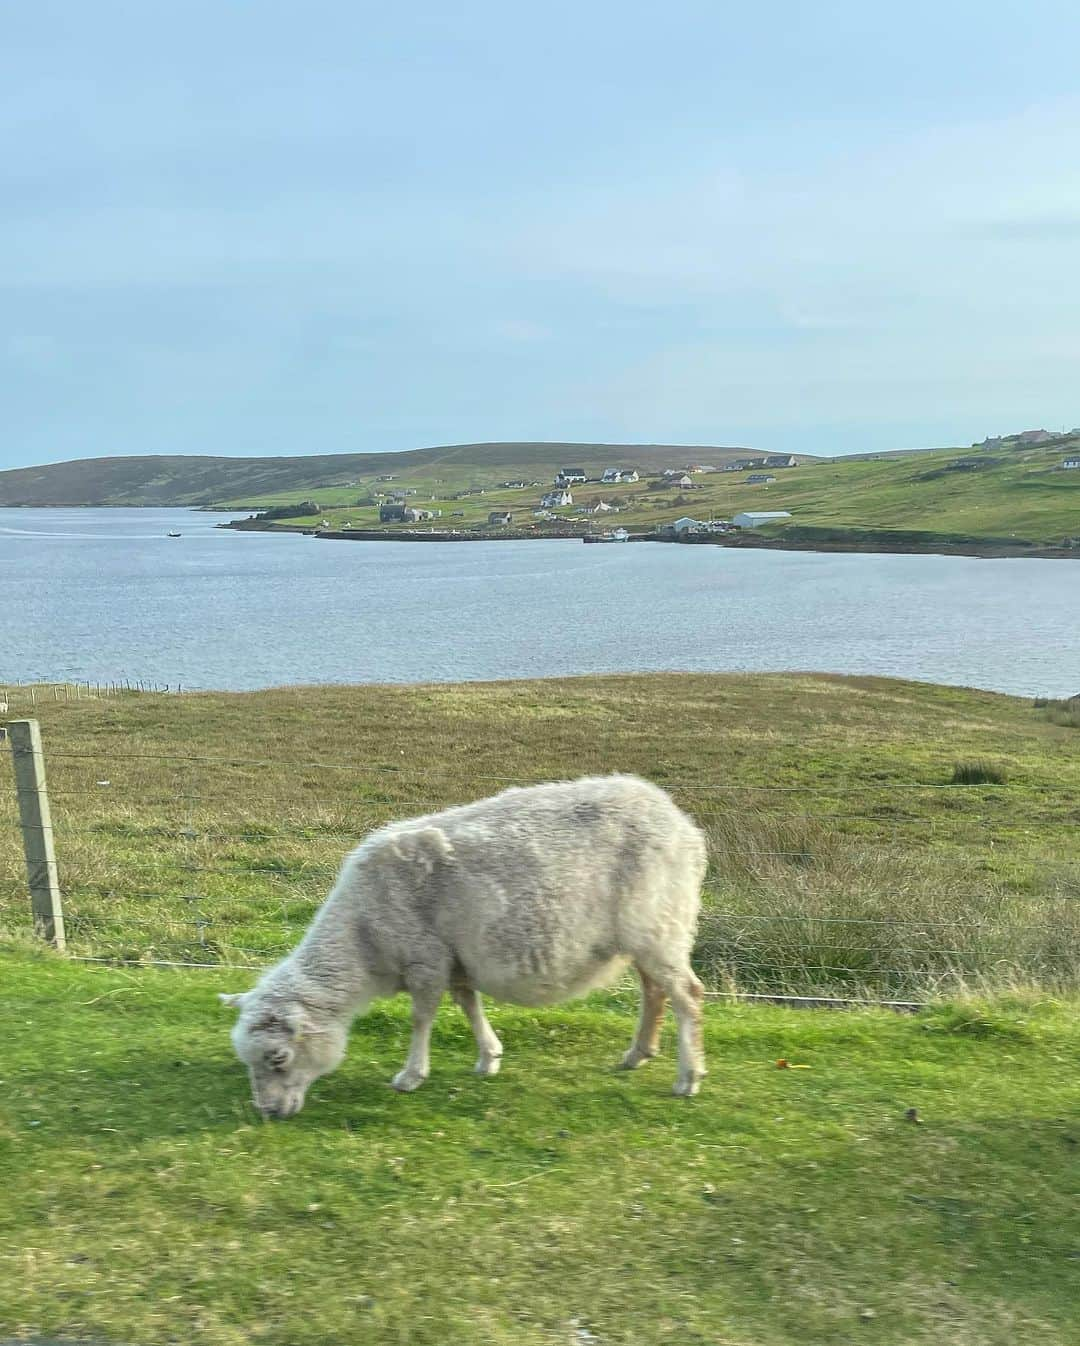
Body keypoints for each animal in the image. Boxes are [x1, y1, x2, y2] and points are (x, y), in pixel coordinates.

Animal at [218, 775, 705, 1119]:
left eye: (278, 1058)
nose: (269, 1113)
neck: (362, 941)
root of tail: (680, 822)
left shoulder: (424, 959)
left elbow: (421, 1018)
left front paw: (411, 1075)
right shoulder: (453, 960)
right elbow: (468, 1004)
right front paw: (489, 1056)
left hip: (659, 924)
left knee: (687, 995)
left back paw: (689, 1077)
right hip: (649, 933)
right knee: (654, 990)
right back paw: (638, 1054)